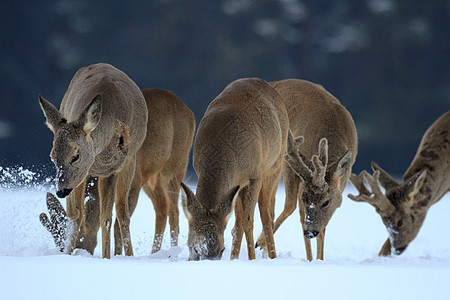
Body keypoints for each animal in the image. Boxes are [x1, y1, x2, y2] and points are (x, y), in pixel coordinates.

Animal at [38, 62, 148, 258]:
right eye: (52, 156)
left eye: (75, 156)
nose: (60, 191)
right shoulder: (82, 174)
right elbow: (76, 214)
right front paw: (67, 254)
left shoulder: (112, 168)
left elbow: (107, 218)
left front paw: (106, 257)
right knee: (79, 213)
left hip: (130, 161)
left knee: (122, 212)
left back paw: (128, 255)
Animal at [41, 87, 195, 255]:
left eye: (79, 242)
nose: (79, 251)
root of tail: (189, 111)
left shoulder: (134, 180)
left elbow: (116, 222)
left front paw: (118, 255)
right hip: (151, 179)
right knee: (162, 209)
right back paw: (155, 253)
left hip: (177, 164)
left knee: (174, 211)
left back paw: (172, 251)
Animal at [179, 78, 288, 260]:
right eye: (194, 248)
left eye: (222, 249)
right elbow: (238, 224)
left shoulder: (254, 175)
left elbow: (249, 221)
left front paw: (252, 259)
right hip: (238, 186)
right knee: (238, 222)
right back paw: (236, 257)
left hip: (275, 164)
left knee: (267, 214)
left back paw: (271, 255)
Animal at [256, 79, 358, 260]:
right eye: (305, 198)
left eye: (326, 202)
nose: (310, 232)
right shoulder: (289, 162)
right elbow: (291, 206)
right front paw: (259, 242)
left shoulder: (343, 179)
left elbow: (322, 227)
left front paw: (318, 259)